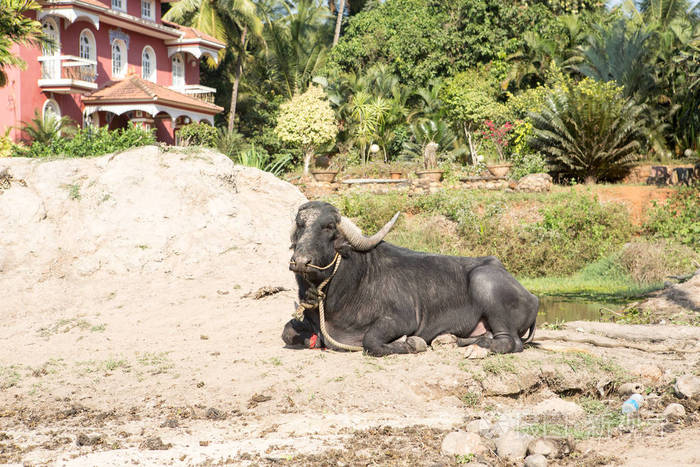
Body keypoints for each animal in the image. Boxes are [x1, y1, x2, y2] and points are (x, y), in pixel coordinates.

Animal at [282, 201, 540, 358]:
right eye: (301, 225)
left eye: (328, 227)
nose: (300, 261)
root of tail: (534, 298)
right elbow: (287, 332)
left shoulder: (402, 319)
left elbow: (370, 341)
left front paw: (411, 343)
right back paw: (450, 340)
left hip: (483, 280)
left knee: (510, 342)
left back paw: (477, 347)